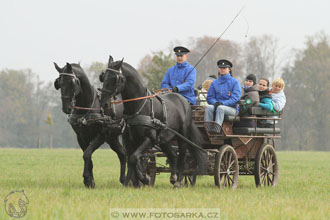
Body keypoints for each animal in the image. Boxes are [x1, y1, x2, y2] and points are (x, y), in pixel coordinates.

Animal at [98, 56, 209, 187]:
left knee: (182, 156)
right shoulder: (131, 141)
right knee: (173, 155)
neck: (139, 106)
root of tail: (185, 102)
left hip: (182, 136)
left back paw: (178, 181)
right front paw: (131, 182)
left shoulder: (149, 139)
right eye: (103, 77)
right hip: (164, 139)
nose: (104, 103)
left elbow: (134, 158)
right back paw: (173, 177)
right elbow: (132, 159)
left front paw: (144, 178)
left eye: (115, 79)